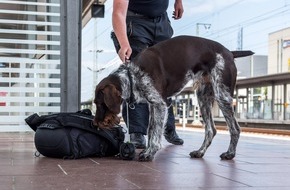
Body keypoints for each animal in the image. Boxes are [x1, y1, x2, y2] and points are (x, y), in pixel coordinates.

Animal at [93, 35, 254, 161]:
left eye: (100, 104)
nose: (94, 124)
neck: (132, 76)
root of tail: (230, 53)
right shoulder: (153, 104)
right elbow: (151, 130)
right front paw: (148, 150)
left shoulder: (159, 104)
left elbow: (155, 132)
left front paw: (150, 153)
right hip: (203, 97)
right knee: (211, 130)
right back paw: (200, 152)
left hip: (222, 95)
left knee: (235, 128)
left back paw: (230, 154)